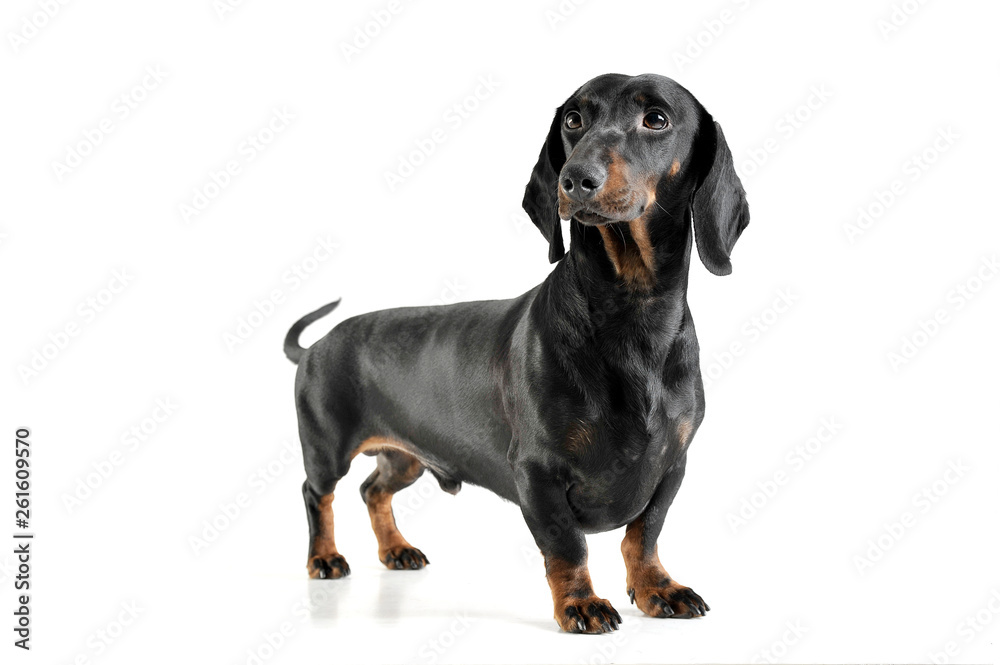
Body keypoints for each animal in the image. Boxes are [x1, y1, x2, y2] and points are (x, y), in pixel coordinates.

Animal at [286, 72, 748, 632]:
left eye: (656, 119)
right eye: (574, 118)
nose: (575, 179)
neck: (633, 313)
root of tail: (316, 345)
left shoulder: (671, 465)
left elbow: (645, 535)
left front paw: (657, 588)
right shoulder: (537, 471)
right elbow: (567, 547)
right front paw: (580, 603)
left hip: (406, 457)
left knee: (373, 490)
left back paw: (396, 549)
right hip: (326, 446)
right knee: (319, 494)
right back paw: (324, 557)